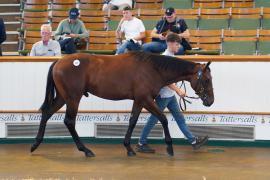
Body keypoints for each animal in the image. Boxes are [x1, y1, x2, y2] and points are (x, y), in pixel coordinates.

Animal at [30, 51, 213, 157]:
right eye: (206, 80)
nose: (210, 101)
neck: (153, 69)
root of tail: (59, 61)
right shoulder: (145, 99)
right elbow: (163, 118)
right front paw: (169, 148)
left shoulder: (139, 100)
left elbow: (133, 121)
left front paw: (129, 148)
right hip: (73, 98)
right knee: (69, 121)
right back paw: (86, 150)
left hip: (63, 97)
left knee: (46, 113)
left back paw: (35, 144)